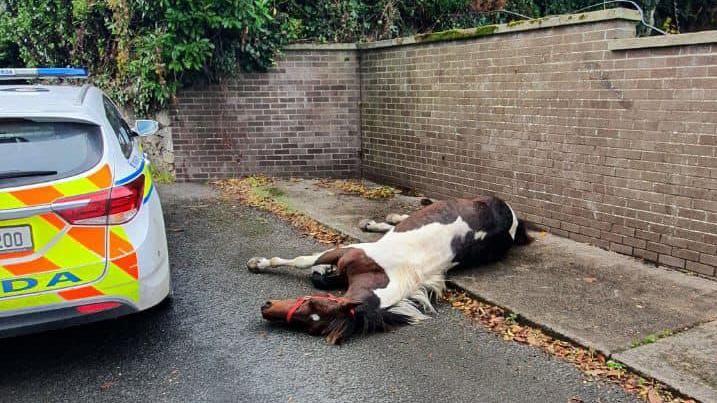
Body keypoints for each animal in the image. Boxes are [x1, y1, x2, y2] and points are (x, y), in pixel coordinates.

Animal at [246, 196, 532, 344]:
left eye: (312, 313)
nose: (265, 308)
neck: (382, 274)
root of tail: (510, 214)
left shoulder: (349, 251)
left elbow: (304, 262)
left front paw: (258, 263)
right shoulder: (347, 251)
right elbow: (308, 264)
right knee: (402, 220)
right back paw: (380, 221)